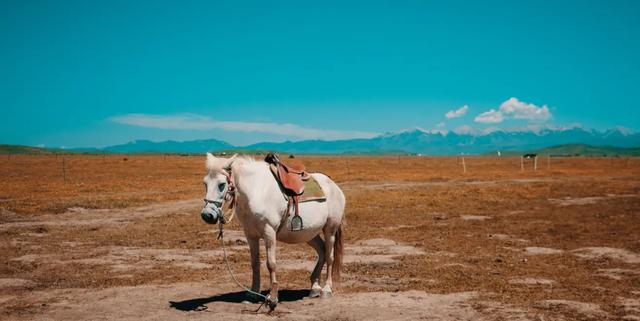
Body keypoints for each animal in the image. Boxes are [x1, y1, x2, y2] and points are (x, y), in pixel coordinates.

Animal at [201, 153, 344, 302]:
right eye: (205, 183)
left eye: (222, 184)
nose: (207, 215)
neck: (256, 191)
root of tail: (334, 186)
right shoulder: (250, 235)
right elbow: (255, 263)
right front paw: (253, 293)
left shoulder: (269, 232)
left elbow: (271, 264)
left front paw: (272, 296)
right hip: (309, 233)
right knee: (321, 251)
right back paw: (315, 288)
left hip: (330, 230)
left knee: (329, 256)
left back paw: (326, 289)